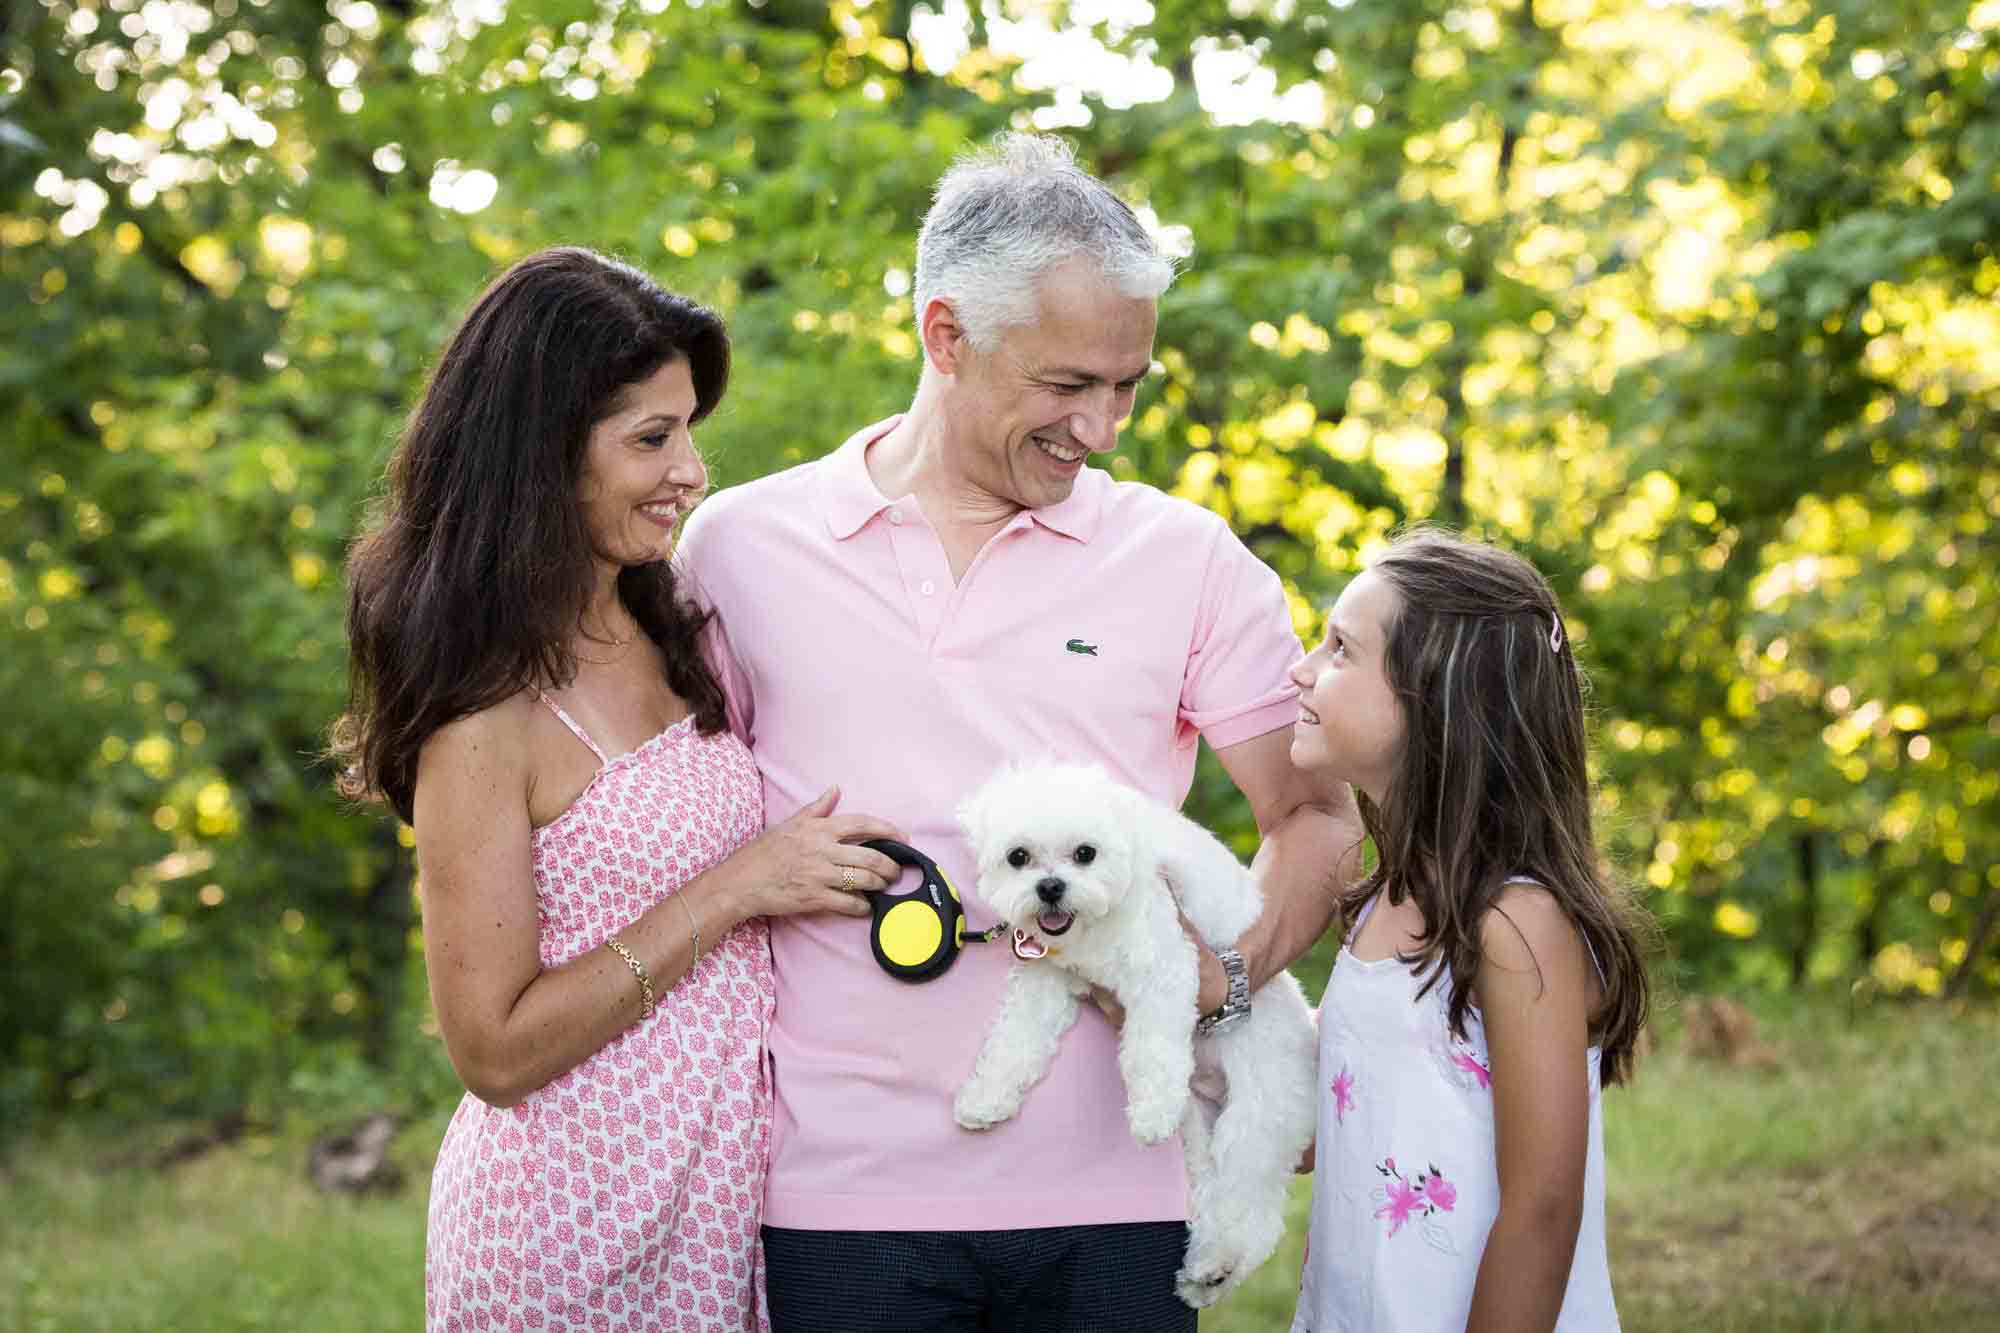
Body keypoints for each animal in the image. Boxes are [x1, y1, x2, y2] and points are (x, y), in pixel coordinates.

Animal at [948, 764, 1312, 1304]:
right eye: (1018, 857)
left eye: (1086, 853)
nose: (1050, 887)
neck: (1094, 923)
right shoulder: (1048, 978)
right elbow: (1016, 1041)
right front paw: (986, 1098)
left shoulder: (1165, 971)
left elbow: (1152, 1052)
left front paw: (1151, 1113)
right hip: (1199, 1131)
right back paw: (1206, 1273)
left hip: (1256, 1117)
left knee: (1251, 1209)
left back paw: (1216, 1265)